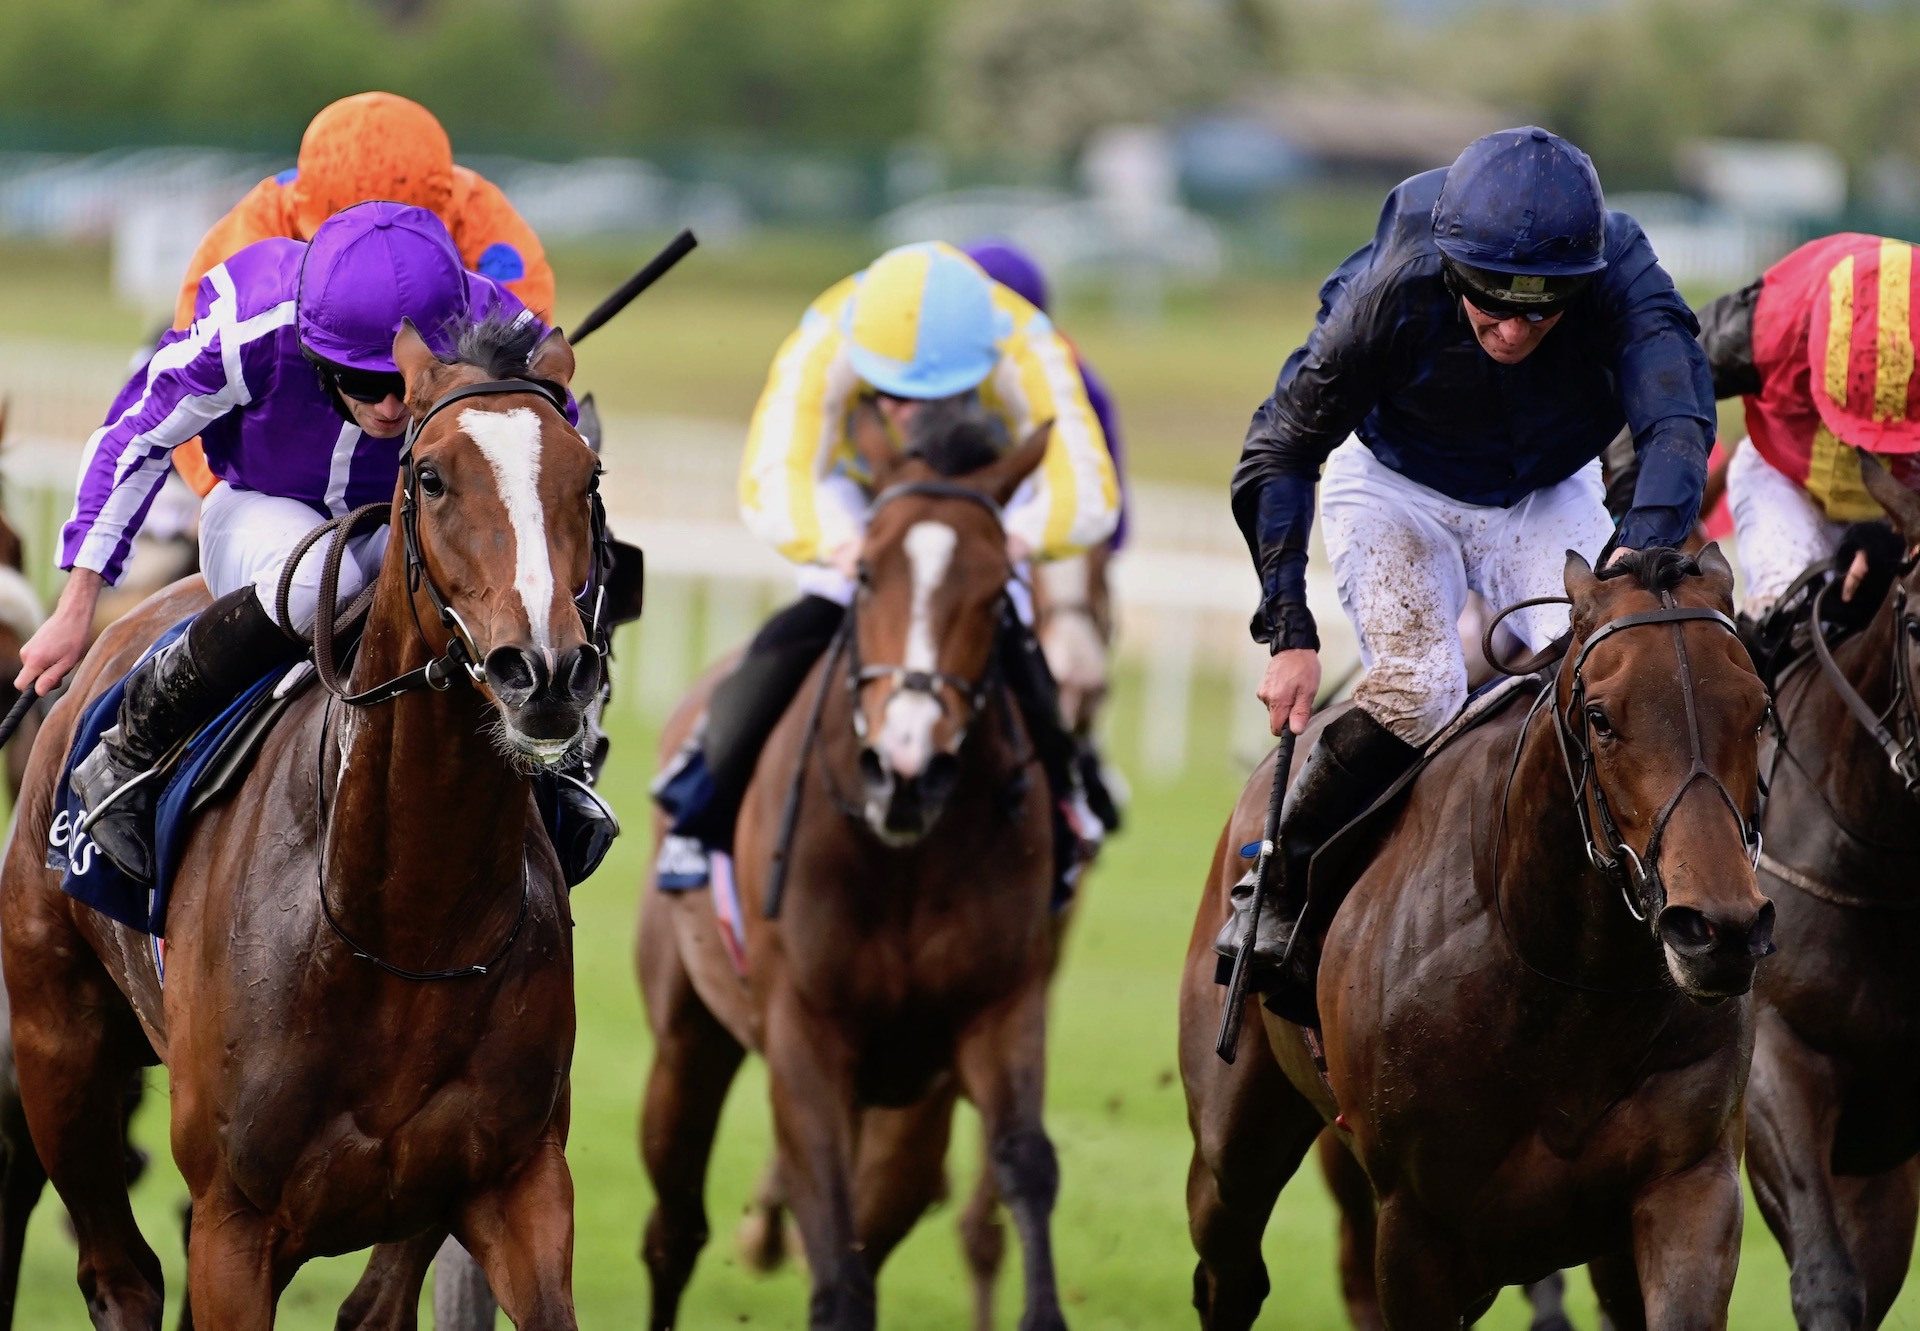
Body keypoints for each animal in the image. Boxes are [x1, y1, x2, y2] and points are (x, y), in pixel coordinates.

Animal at [0, 322, 599, 1329]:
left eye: (586, 474)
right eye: (431, 476)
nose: (544, 671)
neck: (405, 924)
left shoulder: (515, 1183)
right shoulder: (234, 1222)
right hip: (60, 1044)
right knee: (120, 1272)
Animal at [641, 422, 1067, 1329]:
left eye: (997, 593)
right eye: (867, 572)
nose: (905, 766)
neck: (899, 855)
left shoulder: (1001, 1007)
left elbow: (1023, 1159)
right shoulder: (804, 1035)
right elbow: (837, 1268)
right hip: (687, 1037)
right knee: (675, 1226)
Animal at [1175, 545, 1774, 1321]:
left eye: (1758, 710)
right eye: (1602, 717)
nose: (1718, 930)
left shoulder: (1690, 1186)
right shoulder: (1417, 1228)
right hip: (1232, 1144)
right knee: (1232, 1265)